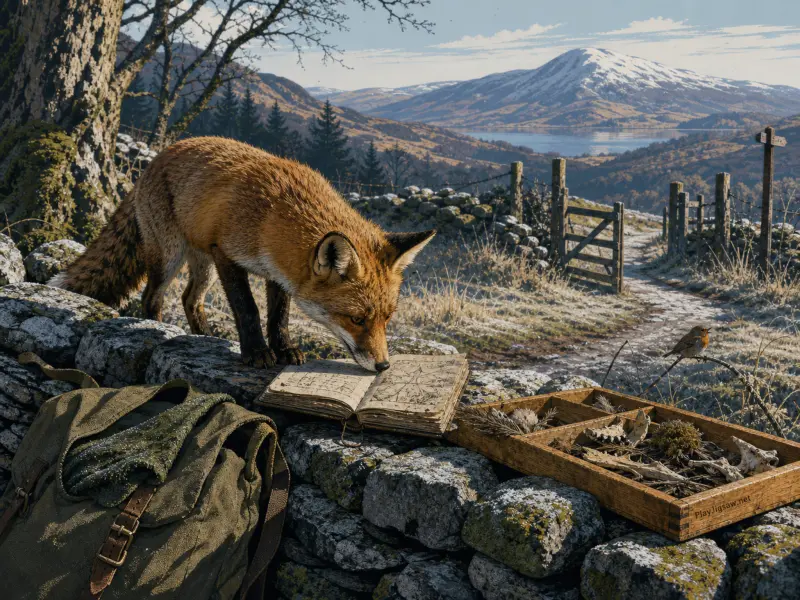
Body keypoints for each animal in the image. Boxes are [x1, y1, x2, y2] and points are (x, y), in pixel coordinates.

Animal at [52, 137, 436, 372]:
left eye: (387, 318)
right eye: (356, 320)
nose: (383, 366)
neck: (272, 215)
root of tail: (157, 157)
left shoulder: (278, 272)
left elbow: (278, 316)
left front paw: (284, 349)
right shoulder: (227, 255)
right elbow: (248, 310)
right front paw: (256, 353)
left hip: (202, 265)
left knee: (191, 299)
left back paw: (204, 337)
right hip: (170, 256)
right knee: (152, 297)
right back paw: (161, 327)